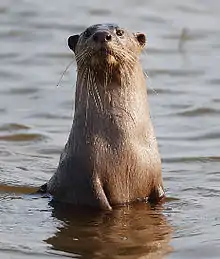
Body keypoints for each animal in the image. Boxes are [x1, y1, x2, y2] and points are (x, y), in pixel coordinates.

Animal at [38, 22, 164, 211]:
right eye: (87, 33)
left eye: (120, 32)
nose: (102, 35)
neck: (122, 147)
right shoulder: (85, 178)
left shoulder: (155, 177)